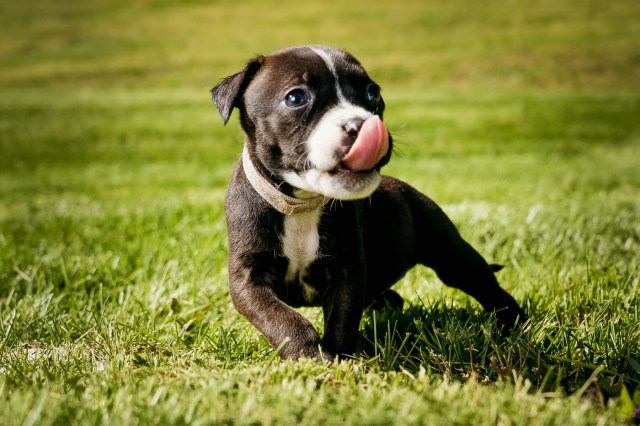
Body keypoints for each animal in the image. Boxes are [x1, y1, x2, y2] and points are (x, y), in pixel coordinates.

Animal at [211, 45, 525, 360]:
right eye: (296, 98)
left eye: (373, 93)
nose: (359, 124)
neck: (303, 203)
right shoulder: (248, 279)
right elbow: (280, 317)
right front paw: (309, 354)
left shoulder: (348, 271)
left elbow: (342, 320)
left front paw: (339, 358)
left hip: (451, 253)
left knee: (486, 286)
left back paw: (512, 324)